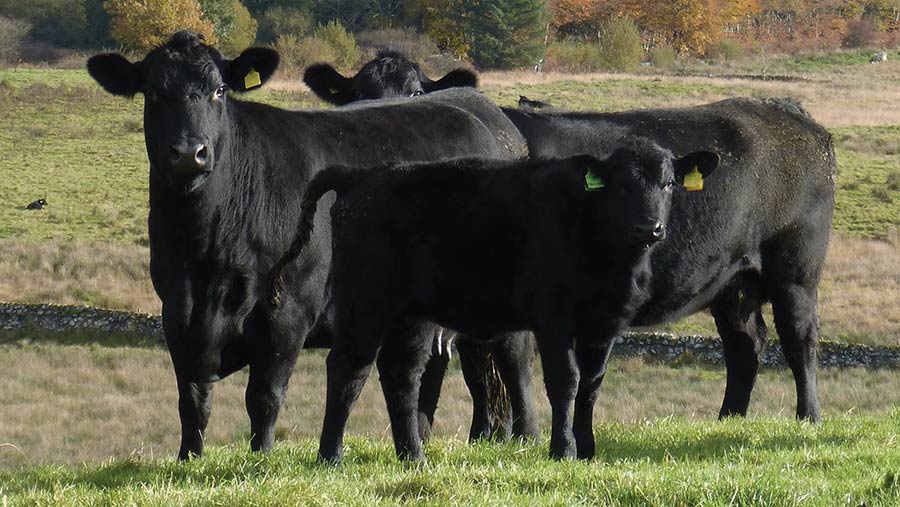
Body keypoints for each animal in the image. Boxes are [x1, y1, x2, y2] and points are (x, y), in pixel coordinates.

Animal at [84, 31, 528, 460]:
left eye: (219, 90)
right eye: (152, 92)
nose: (189, 153)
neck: (205, 252)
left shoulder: (288, 310)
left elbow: (264, 396)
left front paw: (261, 459)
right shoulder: (176, 311)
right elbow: (193, 399)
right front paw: (188, 460)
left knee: (512, 359)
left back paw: (527, 437)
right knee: (406, 373)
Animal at [278, 141, 720, 462]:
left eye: (668, 183)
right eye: (622, 185)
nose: (650, 227)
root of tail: (363, 175)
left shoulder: (606, 323)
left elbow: (592, 385)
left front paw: (587, 448)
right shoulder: (553, 316)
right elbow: (565, 380)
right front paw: (562, 450)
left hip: (411, 317)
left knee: (401, 376)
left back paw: (413, 457)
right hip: (365, 304)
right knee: (348, 370)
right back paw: (331, 456)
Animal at [306, 54, 840, 436]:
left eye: (418, 92)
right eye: (351, 96)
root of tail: (786, 109)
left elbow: (502, 366)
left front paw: (513, 437)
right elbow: (466, 372)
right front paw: (472, 436)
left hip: (795, 267)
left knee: (799, 337)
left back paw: (808, 417)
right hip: (734, 282)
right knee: (745, 346)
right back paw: (729, 419)